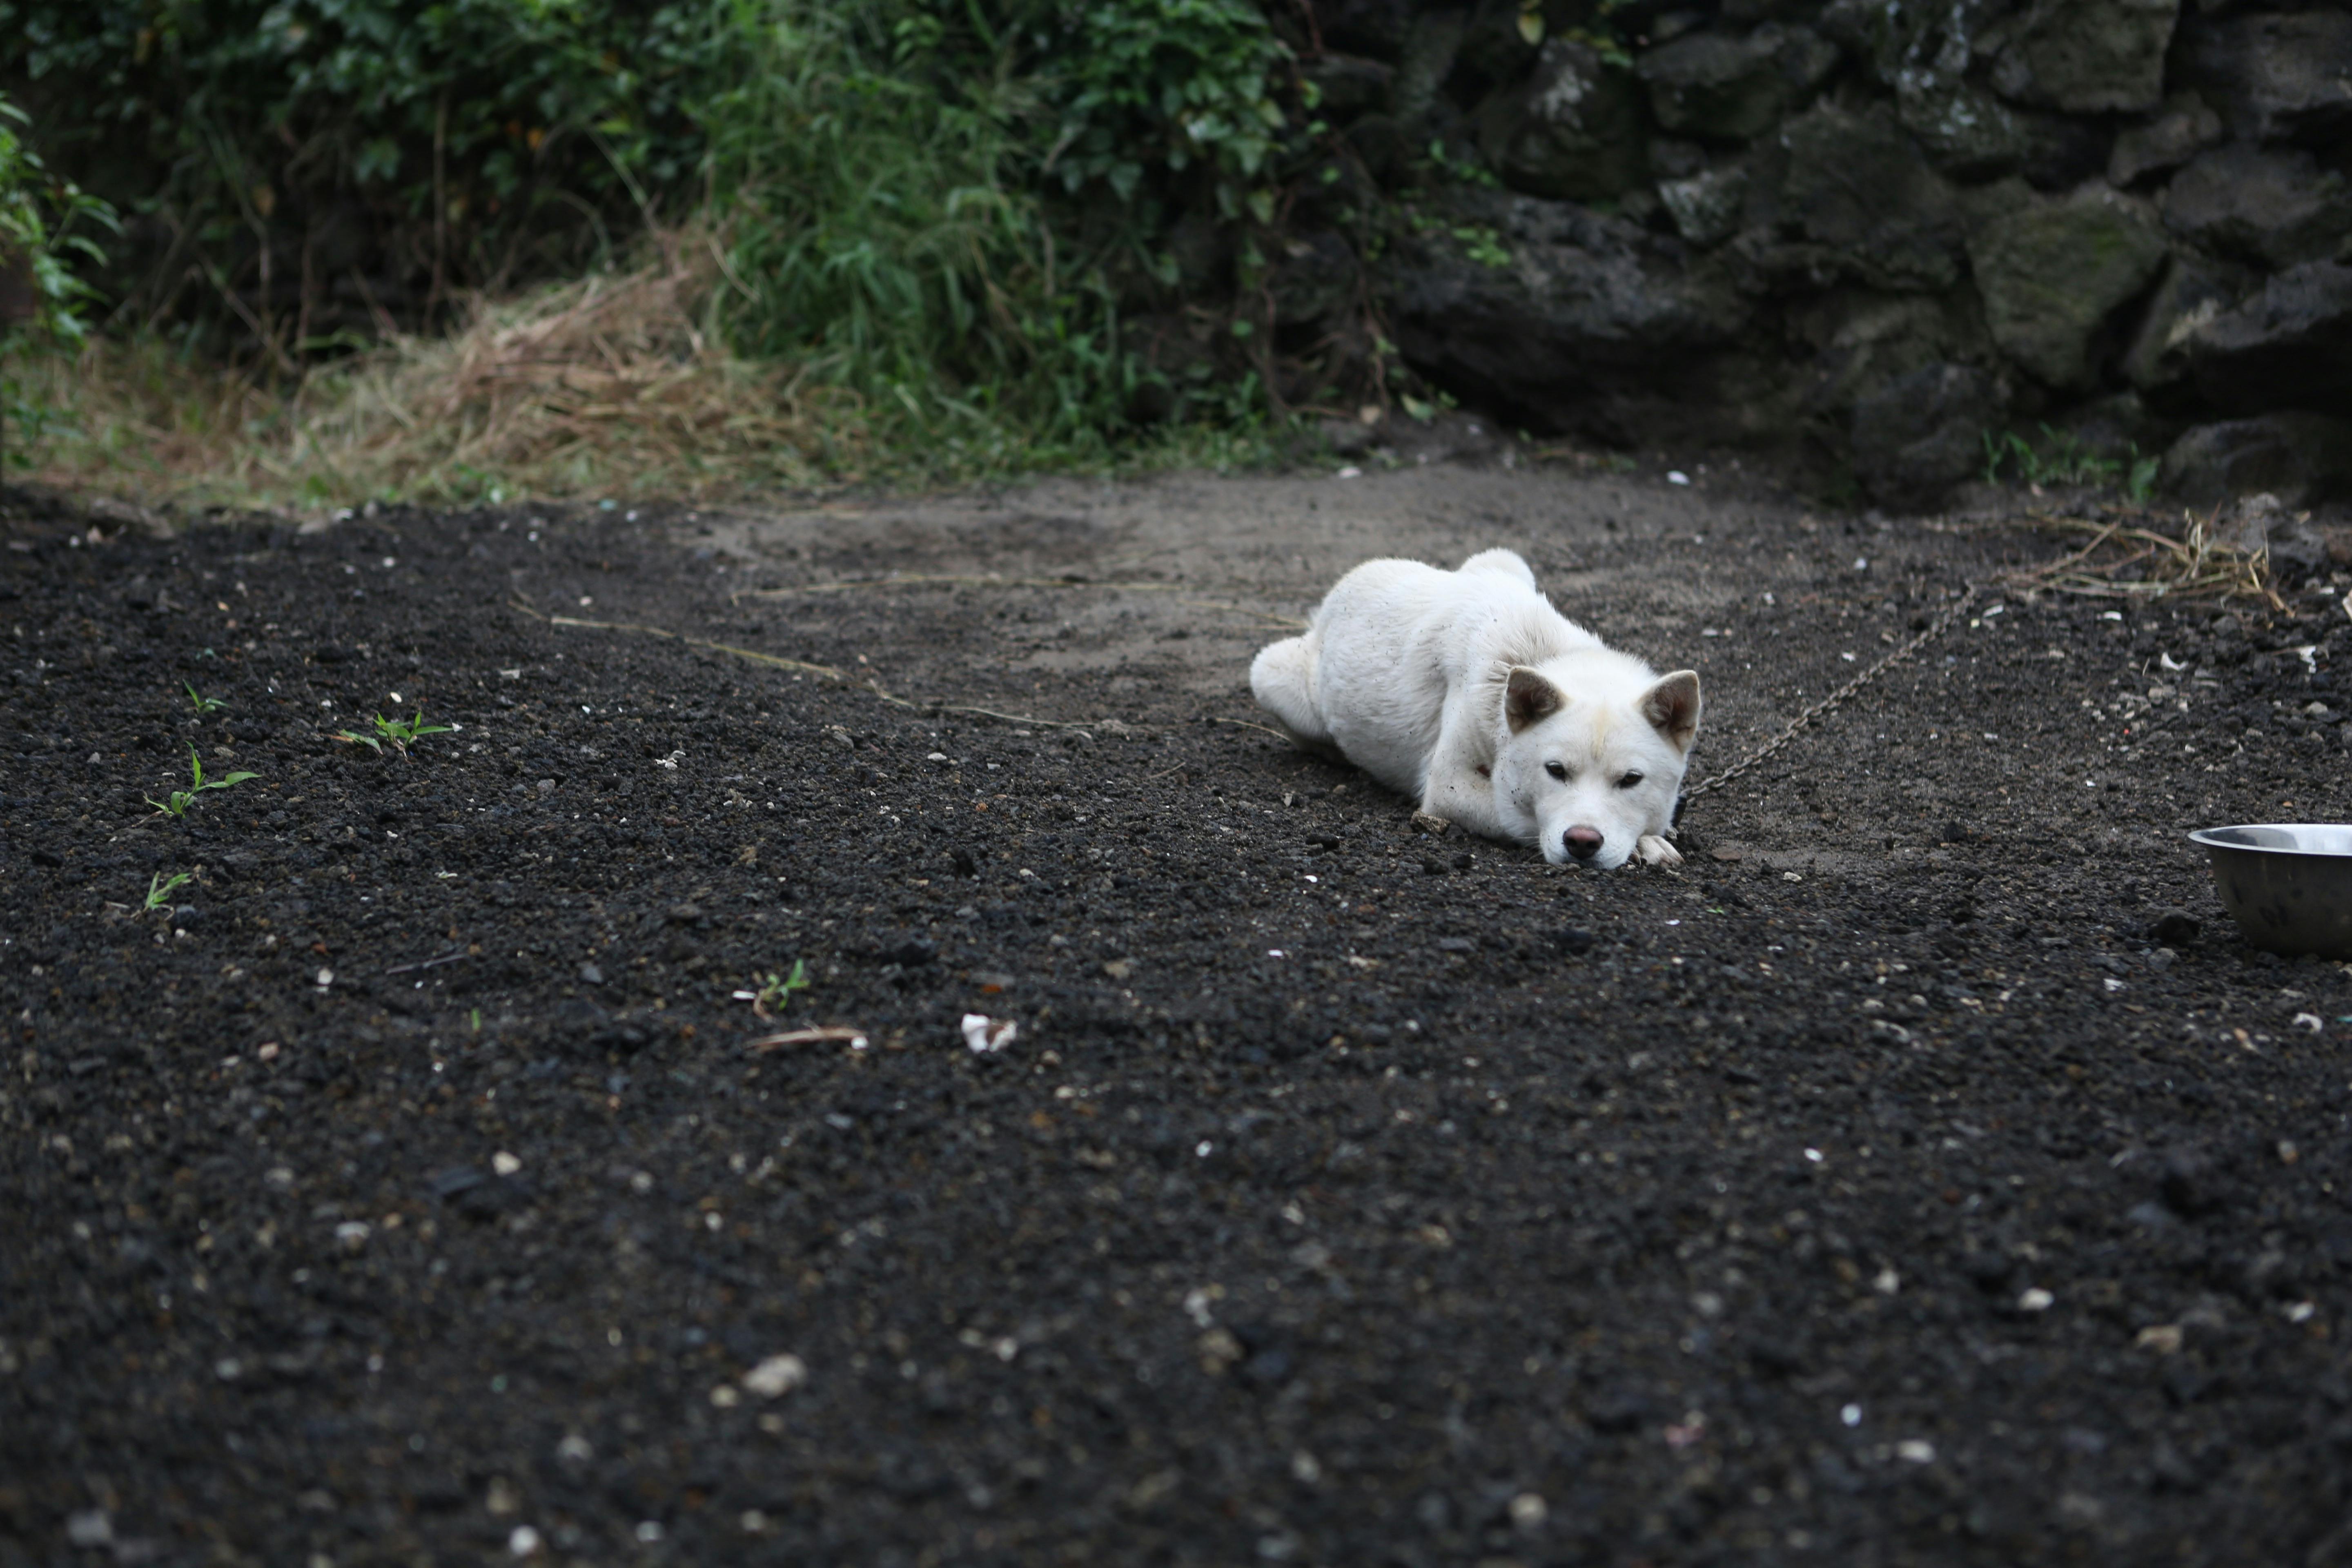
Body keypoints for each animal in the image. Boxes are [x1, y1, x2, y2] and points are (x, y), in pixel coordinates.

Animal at [1261, 552, 1703, 870]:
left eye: (1631, 780)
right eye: (1555, 771)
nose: (1582, 843)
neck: (1532, 655)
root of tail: (1337, 593)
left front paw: (1650, 840)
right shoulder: (1449, 786)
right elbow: (1519, 817)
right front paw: (1644, 843)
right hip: (1273, 679)